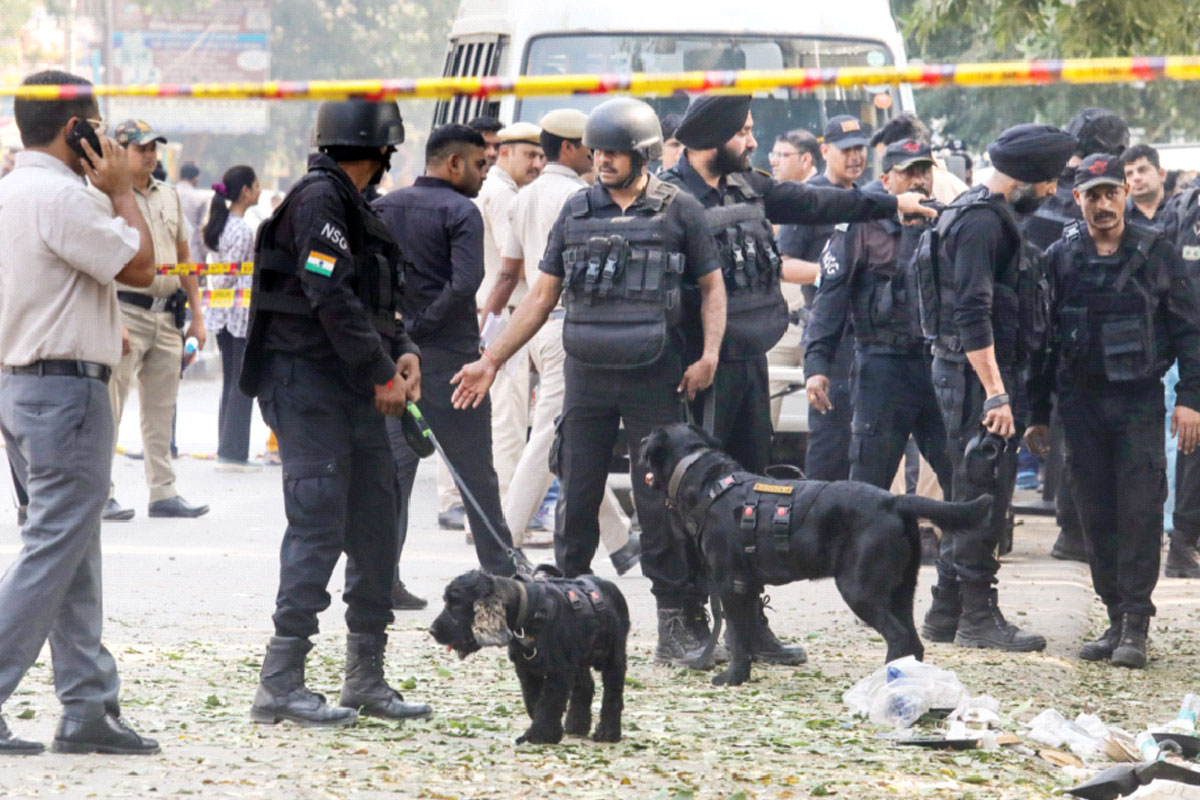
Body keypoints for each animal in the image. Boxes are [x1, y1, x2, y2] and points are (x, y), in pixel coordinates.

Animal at [434, 568, 638, 743]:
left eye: (456, 603)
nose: (432, 630)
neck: (531, 612)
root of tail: (610, 586)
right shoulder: (527, 670)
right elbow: (534, 702)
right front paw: (545, 732)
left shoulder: (560, 671)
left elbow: (548, 703)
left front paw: (541, 736)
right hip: (579, 659)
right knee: (586, 686)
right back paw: (576, 726)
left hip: (613, 656)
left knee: (613, 693)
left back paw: (608, 733)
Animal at [643, 424, 988, 690]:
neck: (709, 483)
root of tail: (893, 501)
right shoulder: (749, 586)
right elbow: (748, 630)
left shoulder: (732, 583)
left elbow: (739, 637)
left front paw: (733, 677)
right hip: (900, 592)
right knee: (913, 642)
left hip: (859, 589)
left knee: (899, 638)